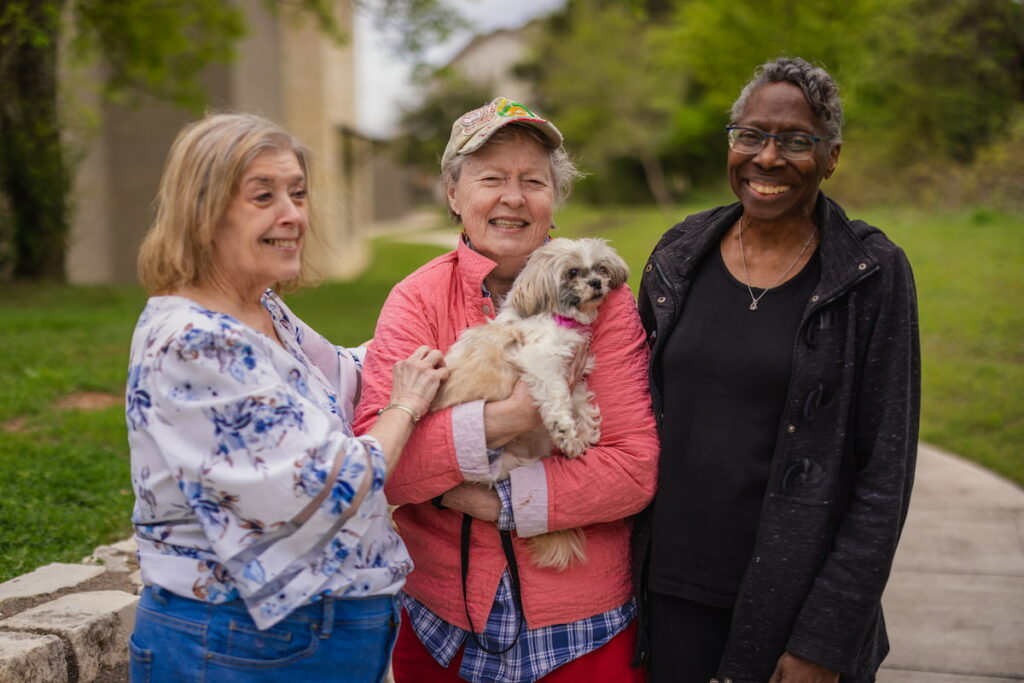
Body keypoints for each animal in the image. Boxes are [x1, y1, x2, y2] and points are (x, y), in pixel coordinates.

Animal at [430, 237, 626, 569]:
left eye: (600, 268)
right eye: (573, 272)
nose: (597, 283)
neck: (559, 318)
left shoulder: (571, 368)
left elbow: (580, 399)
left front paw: (585, 431)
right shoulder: (541, 361)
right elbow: (558, 397)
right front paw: (567, 433)